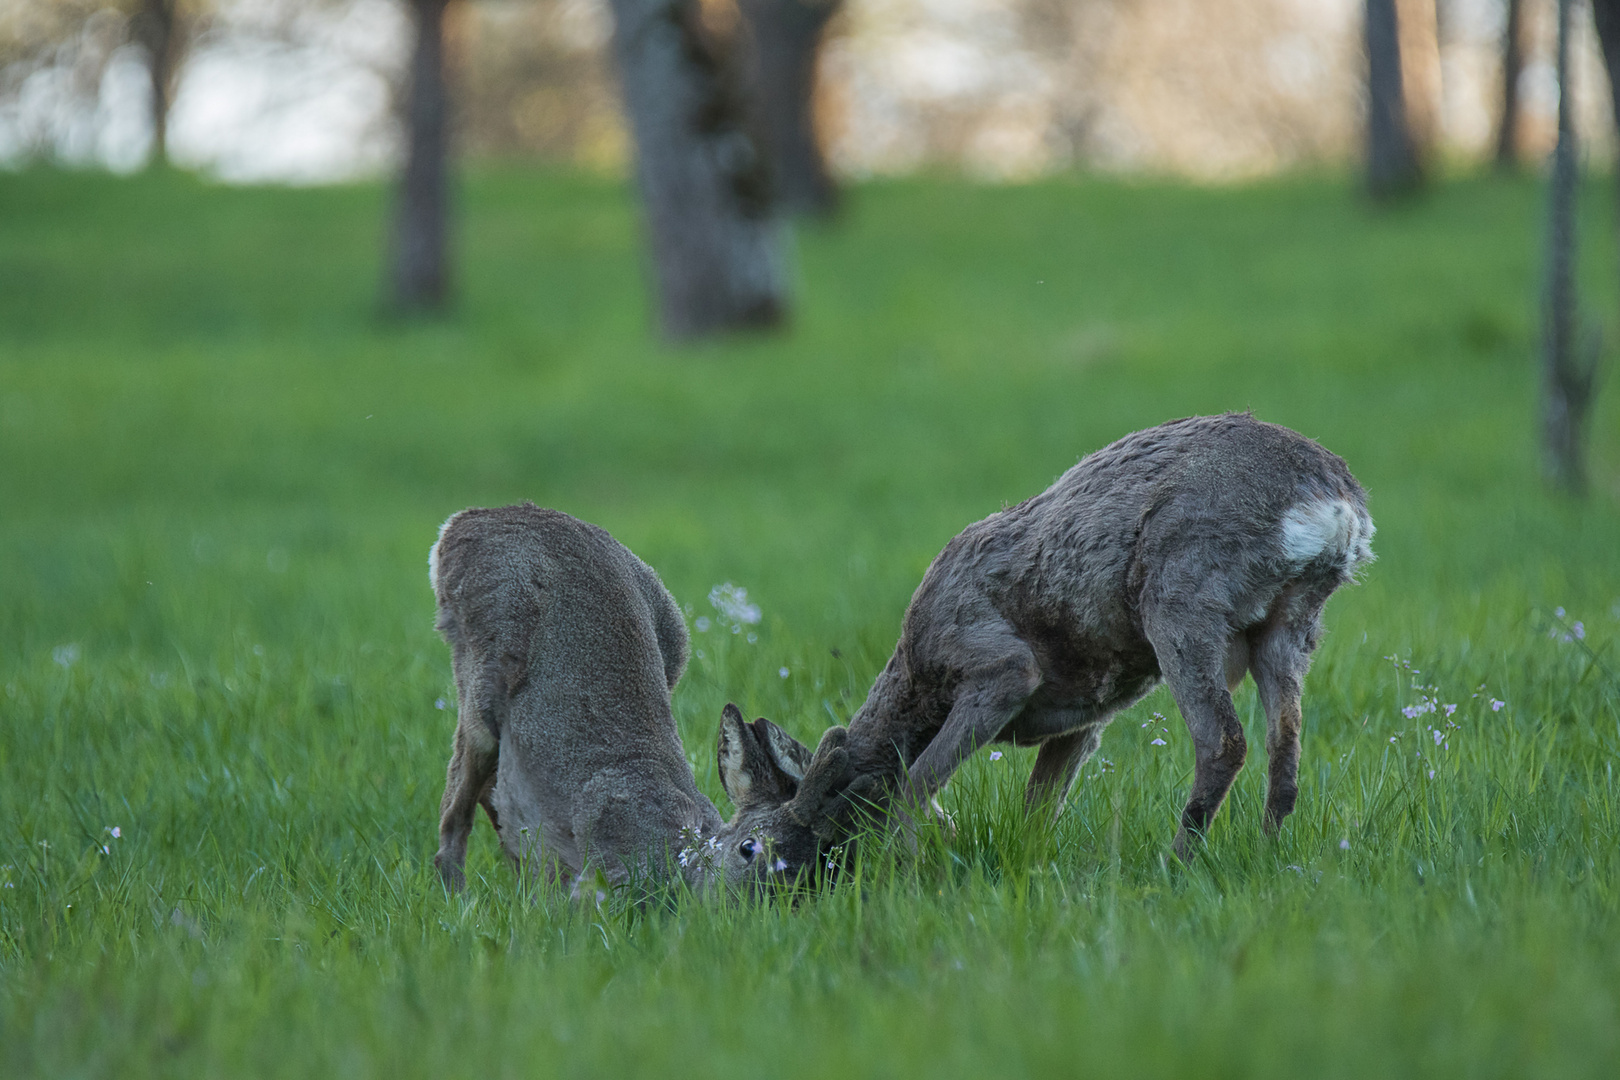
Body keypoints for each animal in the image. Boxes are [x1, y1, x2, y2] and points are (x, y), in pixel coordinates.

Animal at [716, 414, 1373, 880]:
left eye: (756, 845)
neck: (917, 679)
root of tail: (1336, 504)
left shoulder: (1000, 668)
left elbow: (913, 786)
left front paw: (903, 869)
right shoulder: (1086, 716)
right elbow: (1037, 812)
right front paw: (1025, 865)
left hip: (1183, 596)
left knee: (1224, 741)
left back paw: (1176, 862)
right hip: (1291, 623)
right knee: (1284, 749)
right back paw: (1267, 855)